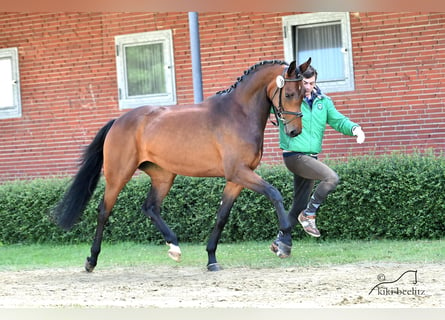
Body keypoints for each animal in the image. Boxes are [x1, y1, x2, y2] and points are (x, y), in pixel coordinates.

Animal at [52, 57, 310, 270]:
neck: (238, 114)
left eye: (303, 94)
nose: (295, 131)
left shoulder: (236, 179)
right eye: (289, 94)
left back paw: (174, 247)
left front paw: (211, 259)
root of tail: (118, 120)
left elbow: (222, 216)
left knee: (150, 207)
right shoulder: (239, 172)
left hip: (163, 176)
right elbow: (274, 193)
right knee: (104, 211)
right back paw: (91, 260)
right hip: (119, 175)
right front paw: (284, 243)